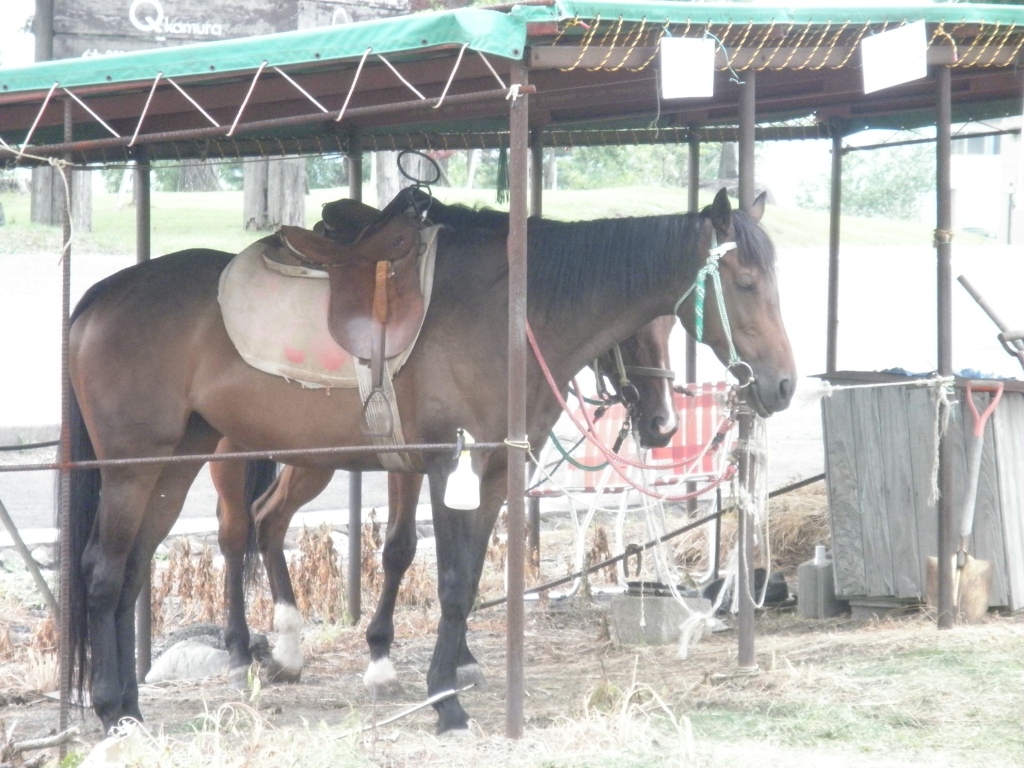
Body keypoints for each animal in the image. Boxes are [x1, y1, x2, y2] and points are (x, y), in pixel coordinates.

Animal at [209, 314, 680, 692]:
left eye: (671, 322)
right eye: (630, 333)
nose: (664, 424)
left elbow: (462, 562)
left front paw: (461, 659)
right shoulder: (415, 464)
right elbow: (402, 549)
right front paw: (381, 658)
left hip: (311, 460)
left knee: (269, 519)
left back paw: (287, 652)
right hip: (230, 456)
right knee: (234, 533)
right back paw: (238, 653)